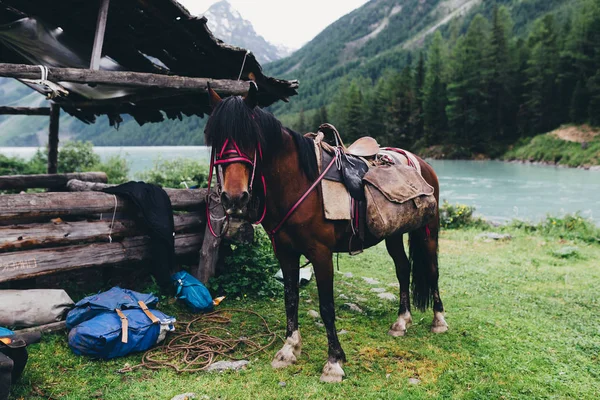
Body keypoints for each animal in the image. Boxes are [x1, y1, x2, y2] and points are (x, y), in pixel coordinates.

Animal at [204, 83, 448, 382]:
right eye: (215, 138)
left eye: (252, 138)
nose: (234, 198)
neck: (298, 182)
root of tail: (421, 162)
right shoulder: (285, 252)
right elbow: (291, 298)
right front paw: (289, 349)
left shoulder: (320, 254)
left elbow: (326, 307)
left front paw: (334, 362)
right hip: (392, 234)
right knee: (403, 268)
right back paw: (401, 321)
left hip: (429, 230)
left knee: (432, 270)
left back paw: (439, 320)